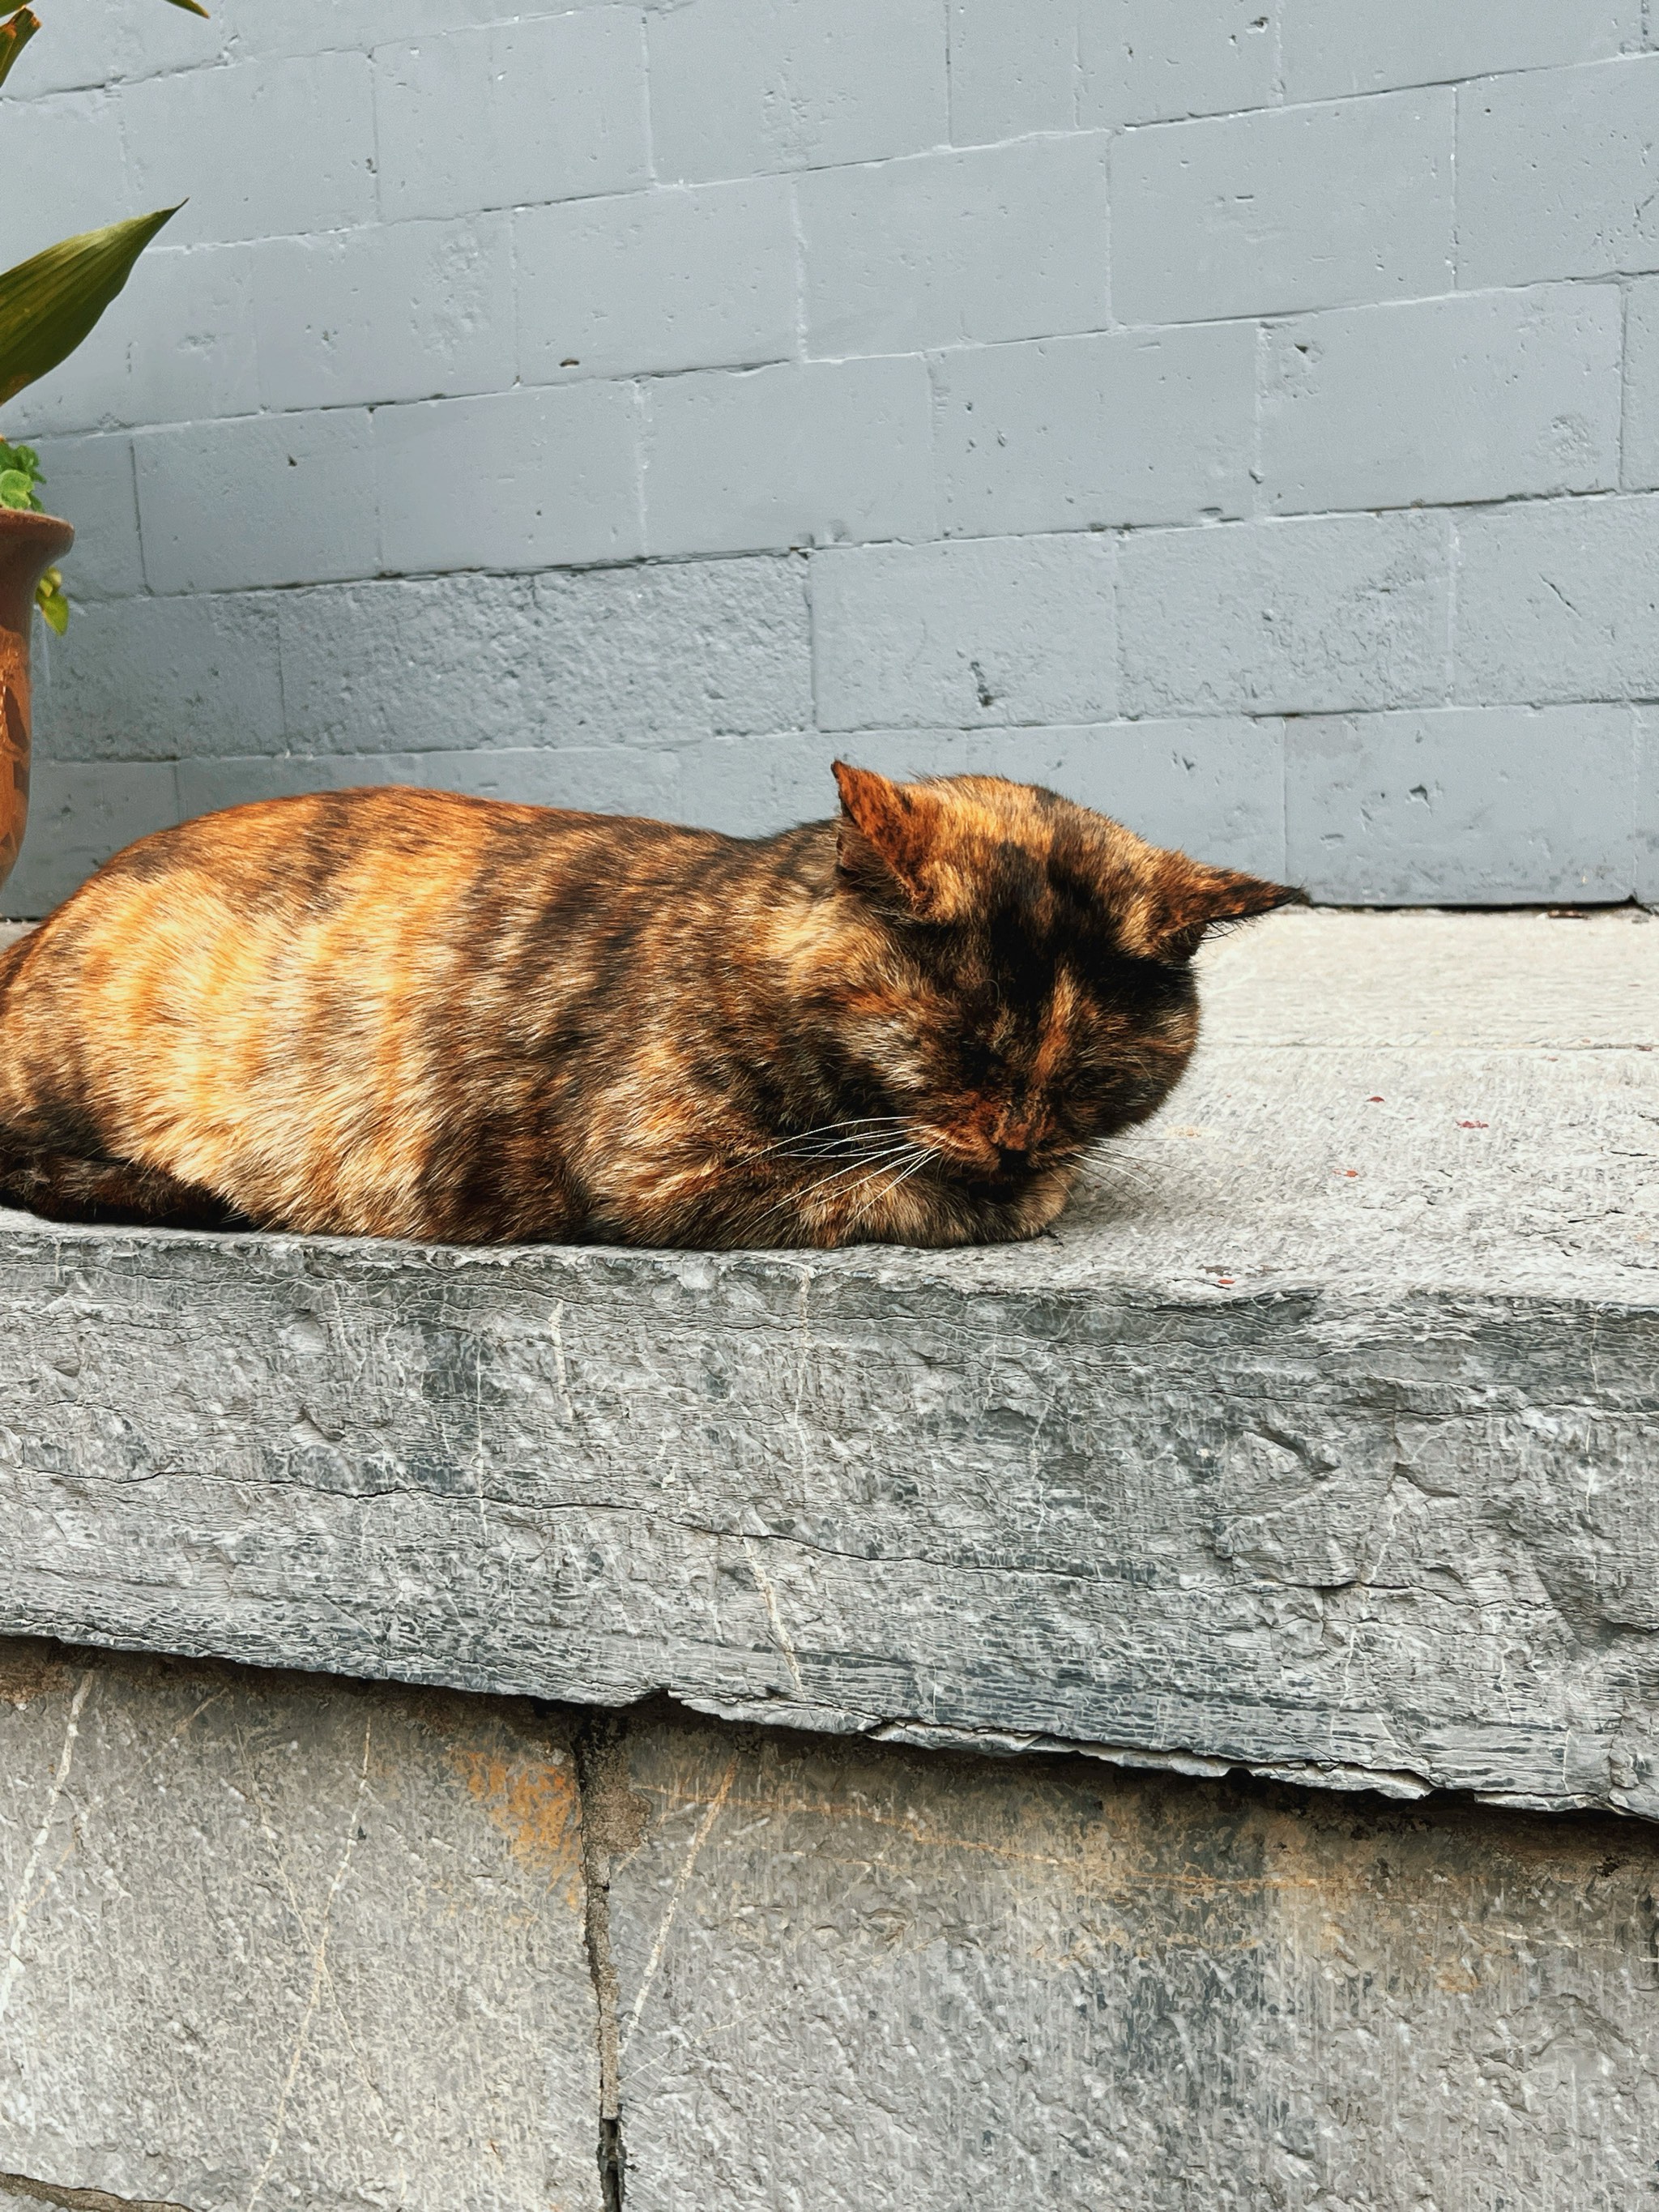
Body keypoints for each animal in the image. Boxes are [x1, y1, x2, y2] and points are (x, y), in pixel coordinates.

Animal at [0, 765, 1309, 1247]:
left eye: (1091, 1075)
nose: (1019, 1142)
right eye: (953, 1051)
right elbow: (877, 1185)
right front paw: (1018, 1195)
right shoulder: (656, 1164)